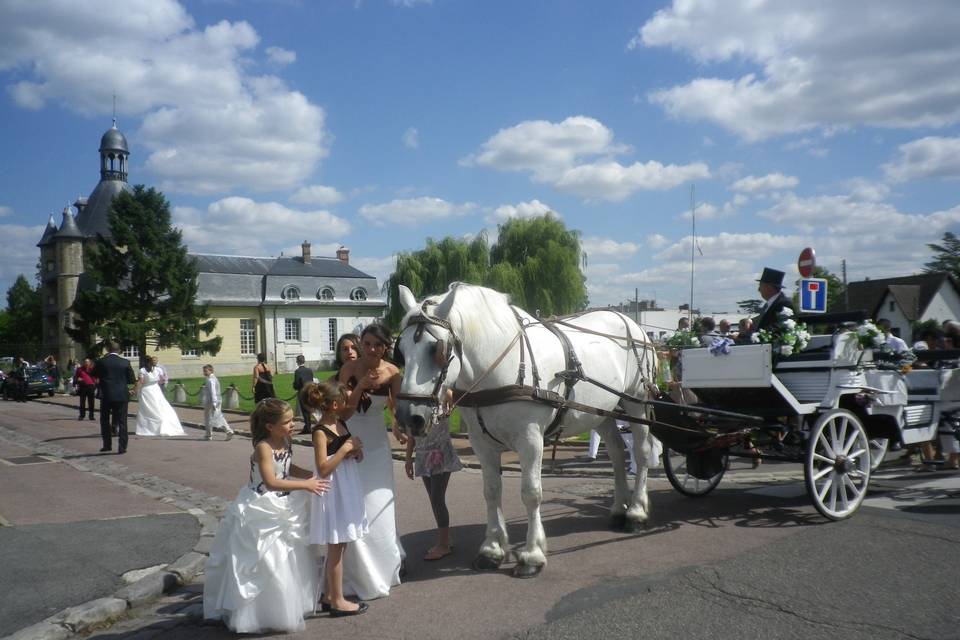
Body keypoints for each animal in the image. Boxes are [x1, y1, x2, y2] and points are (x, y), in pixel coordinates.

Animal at [392, 282, 660, 576]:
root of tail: (630, 322)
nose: (409, 417)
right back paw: (619, 509)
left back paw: (636, 512)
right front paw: (491, 550)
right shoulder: (481, 443)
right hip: (600, 412)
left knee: (641, 453)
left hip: (636, 403)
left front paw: (532, 555)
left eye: (435, 349)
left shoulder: (530, 440)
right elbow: (491, 491)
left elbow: (531, 493)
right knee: (615, 452)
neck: (500, 367)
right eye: (400, 351)